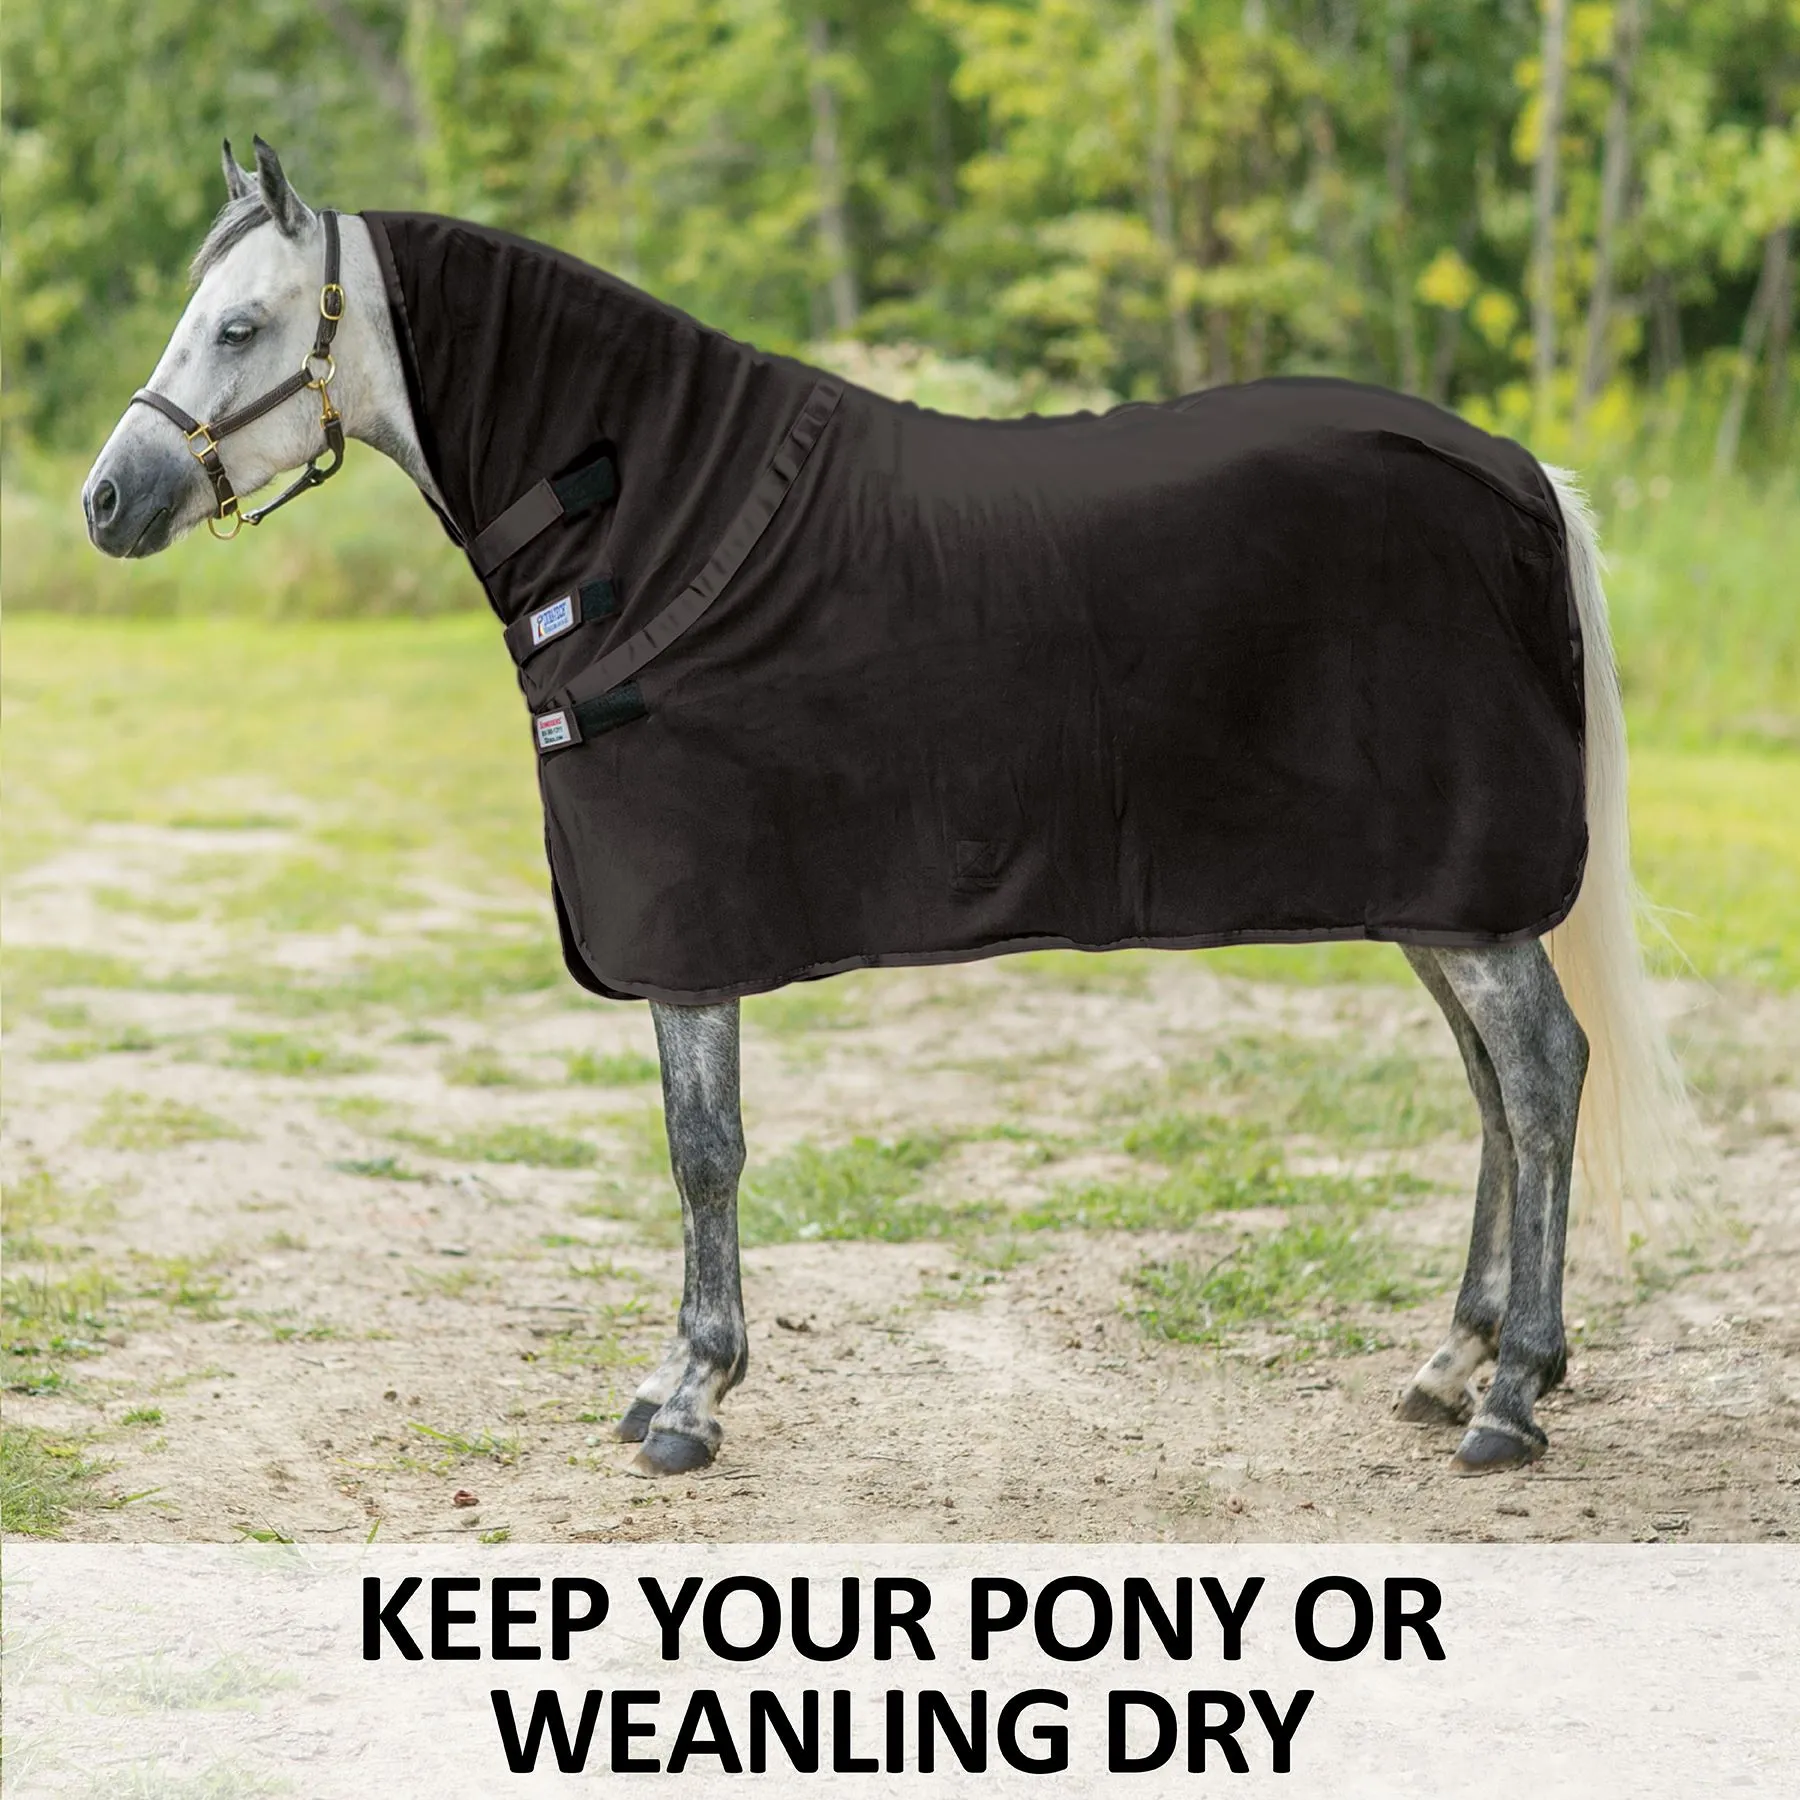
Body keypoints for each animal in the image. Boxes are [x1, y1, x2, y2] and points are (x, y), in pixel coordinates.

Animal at [83, 139, 1688, 1481]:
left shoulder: (688, 933)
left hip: (1472, 899)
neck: (654, 514)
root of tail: (1518, 470)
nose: (110, 499)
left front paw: (691, 1396)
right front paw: (676, 1384)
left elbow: (703, 1151)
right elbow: (697, 1149)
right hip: (1438, 900)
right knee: (1495, 1091)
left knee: (1543, 1076)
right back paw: (1451, 1361)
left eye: (241, 328)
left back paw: (1512, 1396)